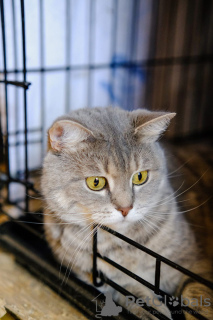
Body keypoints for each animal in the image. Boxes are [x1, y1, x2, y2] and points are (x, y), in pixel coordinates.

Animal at [41, 108, 211, 320]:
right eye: (95, 182)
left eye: (140, 177)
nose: (125, 208)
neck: (125, 244)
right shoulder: (105, 279)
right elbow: (130, 290)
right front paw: (150, 310)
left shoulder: (196, 262)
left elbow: (195, 294)